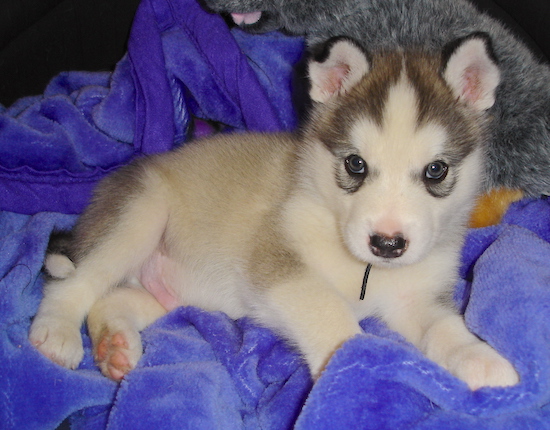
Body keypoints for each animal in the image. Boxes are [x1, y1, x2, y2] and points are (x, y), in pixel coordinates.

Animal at [30, 33, 520, 390]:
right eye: (355, 164)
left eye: (436, 170)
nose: (387, 243)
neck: (364, 269)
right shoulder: (280, 264)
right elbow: (331, 313)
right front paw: (356, 369)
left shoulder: (417, 296)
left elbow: (444, 328)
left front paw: (481, 360)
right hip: (140, 215)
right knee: (76, 281)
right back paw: (56, 333)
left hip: (170, 292)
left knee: (111, 298)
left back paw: (114, 343)